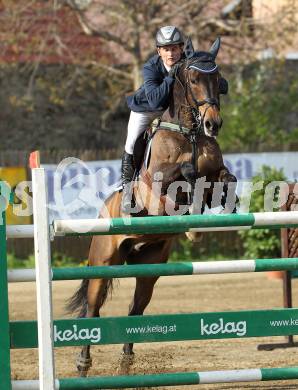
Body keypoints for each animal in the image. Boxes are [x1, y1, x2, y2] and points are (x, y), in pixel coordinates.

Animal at [67, 38, 237, 376]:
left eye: (218, 78)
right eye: (193, 78)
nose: (213, 124)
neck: (190, 133)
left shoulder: (215, 173)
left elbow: (226, 179)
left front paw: (226, 204)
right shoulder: (159, 187)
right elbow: (185, 175)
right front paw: (194, 223)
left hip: (149, 267)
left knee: (135, 310)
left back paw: (126, 362)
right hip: (103, 260)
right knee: (93, 308)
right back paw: (83, 363)